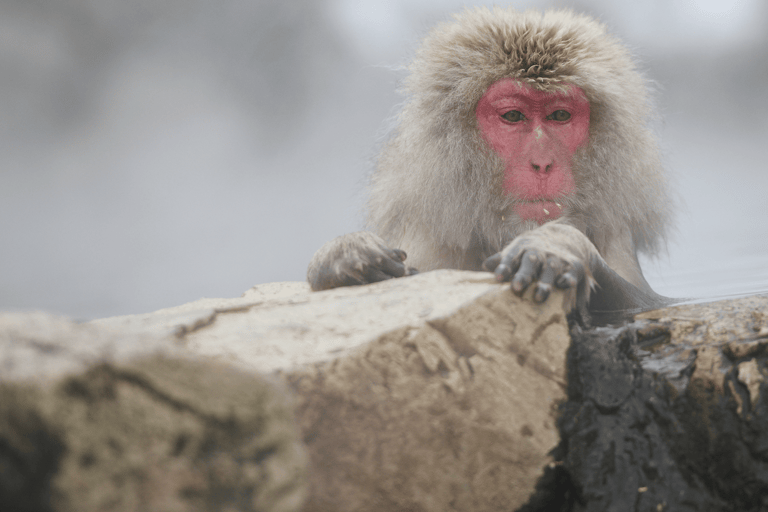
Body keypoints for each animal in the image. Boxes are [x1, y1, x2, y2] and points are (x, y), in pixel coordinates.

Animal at [307, 7, 674, 325]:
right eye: (513, 116)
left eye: (559, 115)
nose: (542, 163)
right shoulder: (426, 242)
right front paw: (343, 255)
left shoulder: (617, 236)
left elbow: (655, 304)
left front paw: (557, 247)